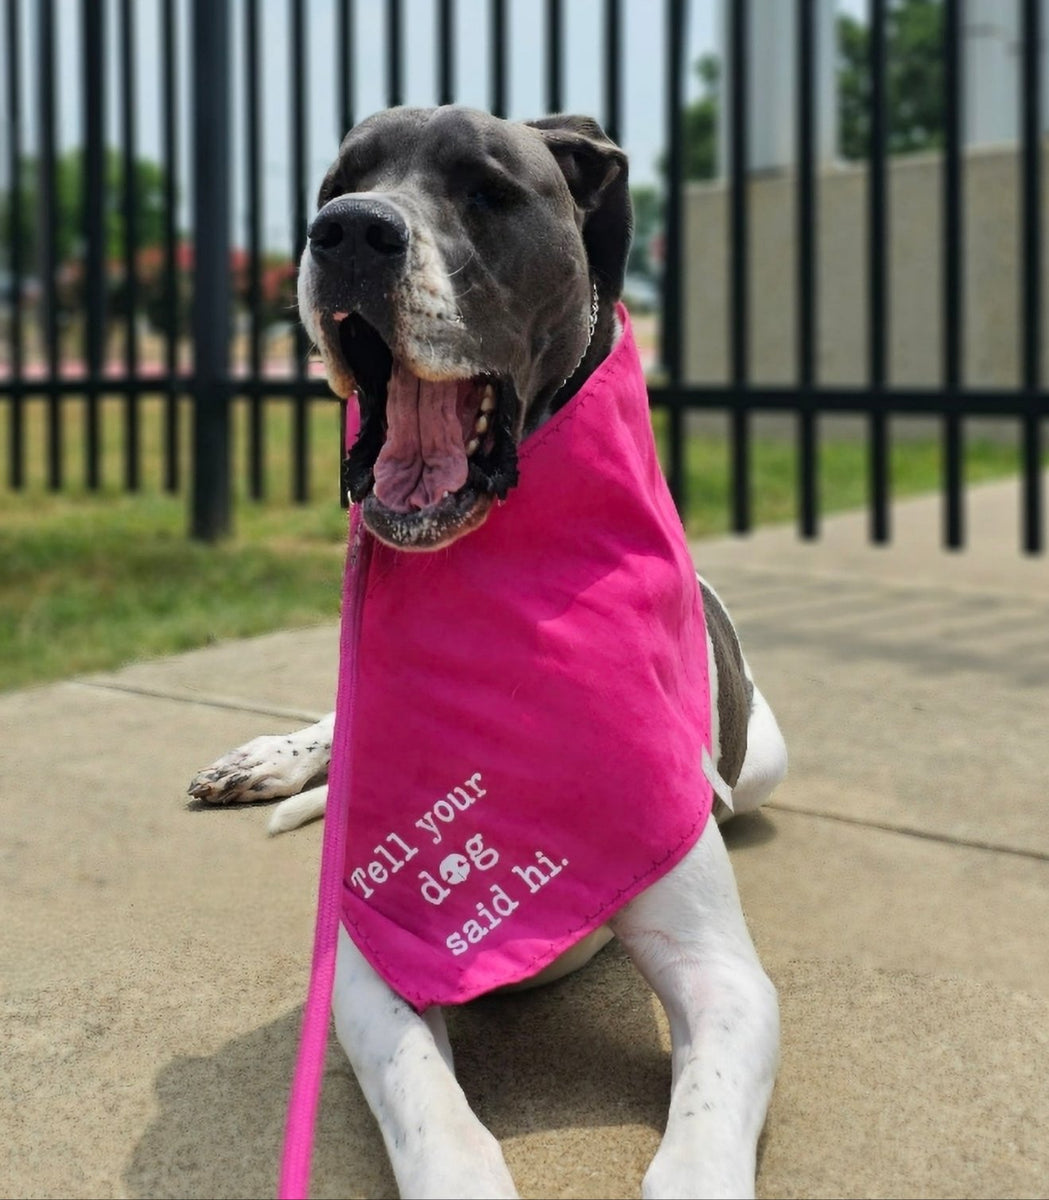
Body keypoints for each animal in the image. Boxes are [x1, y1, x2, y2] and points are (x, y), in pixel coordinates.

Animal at [189, 108, 787, 1195]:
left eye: (488, 191)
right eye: (335, 182)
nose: (347, 232)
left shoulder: (721, 974)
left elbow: (698, 1142)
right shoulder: (368, 967)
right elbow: (435, 1116)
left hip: (762, 761)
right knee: (335, 720)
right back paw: (264, 762)